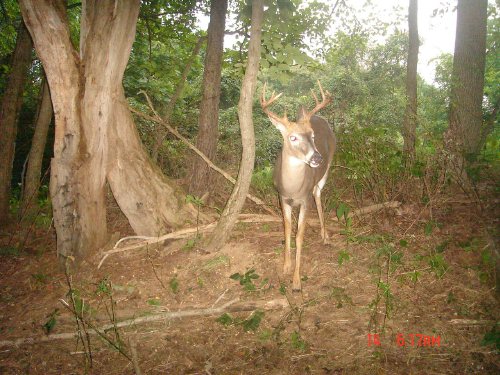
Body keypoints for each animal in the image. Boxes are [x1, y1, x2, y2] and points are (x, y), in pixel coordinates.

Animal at [258, 81, 336, 290]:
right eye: (292, 137)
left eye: (312, 135)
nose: (317, 158)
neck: (293, 188)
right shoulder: (282, 197)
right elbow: (287, 229)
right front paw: (286, 266)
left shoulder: (304, 199)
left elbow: (299, 235)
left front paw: (296, 280)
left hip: (328, 167)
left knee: (318, 193)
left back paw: (325, 236)